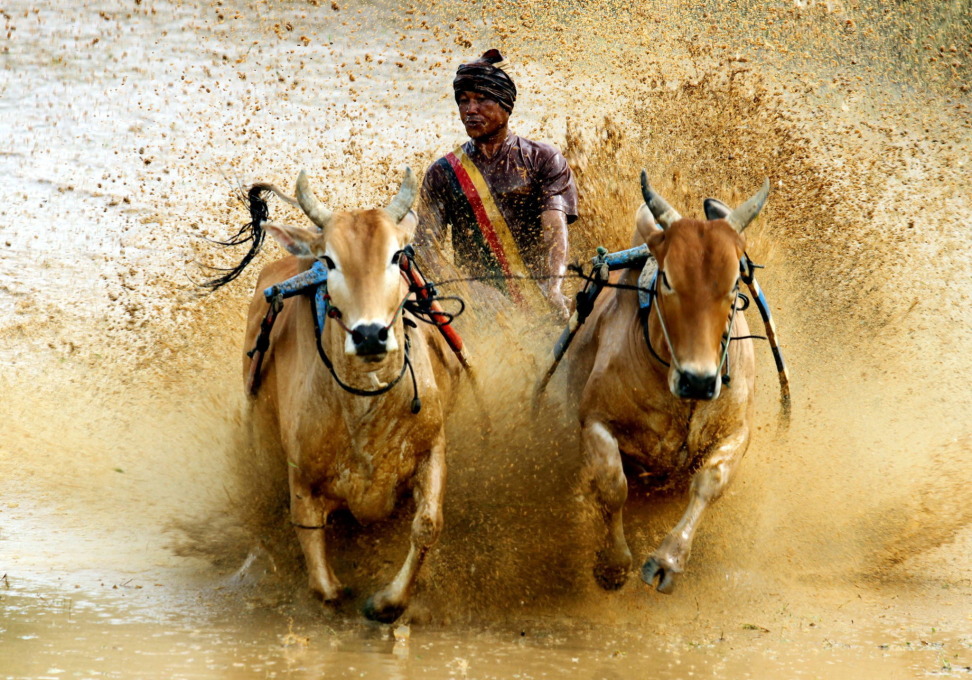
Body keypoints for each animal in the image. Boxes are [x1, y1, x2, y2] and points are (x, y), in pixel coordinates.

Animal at [242, 169, 461, 622]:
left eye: (396, 256)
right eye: (329, 261)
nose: (370, 335)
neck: (364, 409)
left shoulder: (434, 448)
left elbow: (428, 525)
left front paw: (387, 602)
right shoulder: (301, 480)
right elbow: (325, 586)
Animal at [567, 172, 769, 593]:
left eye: (733, 285)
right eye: (669, 281)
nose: (698, 380)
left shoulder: (738, 430)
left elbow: (710, 480)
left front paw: (667, 561)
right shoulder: (593, 420)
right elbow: (612, 484)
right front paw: (612, 565)